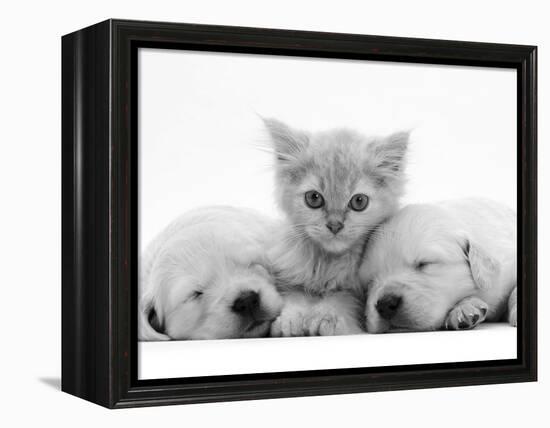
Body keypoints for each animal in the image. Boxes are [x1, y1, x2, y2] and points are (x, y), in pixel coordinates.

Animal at [266, 118, 412, 336]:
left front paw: (325, 317)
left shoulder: (356, 293)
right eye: (313, 198)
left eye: (359, 201)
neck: (328, 263)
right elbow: (295, 298)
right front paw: (290, 321)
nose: (335, 225)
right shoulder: (289, 280)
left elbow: (340, 300)